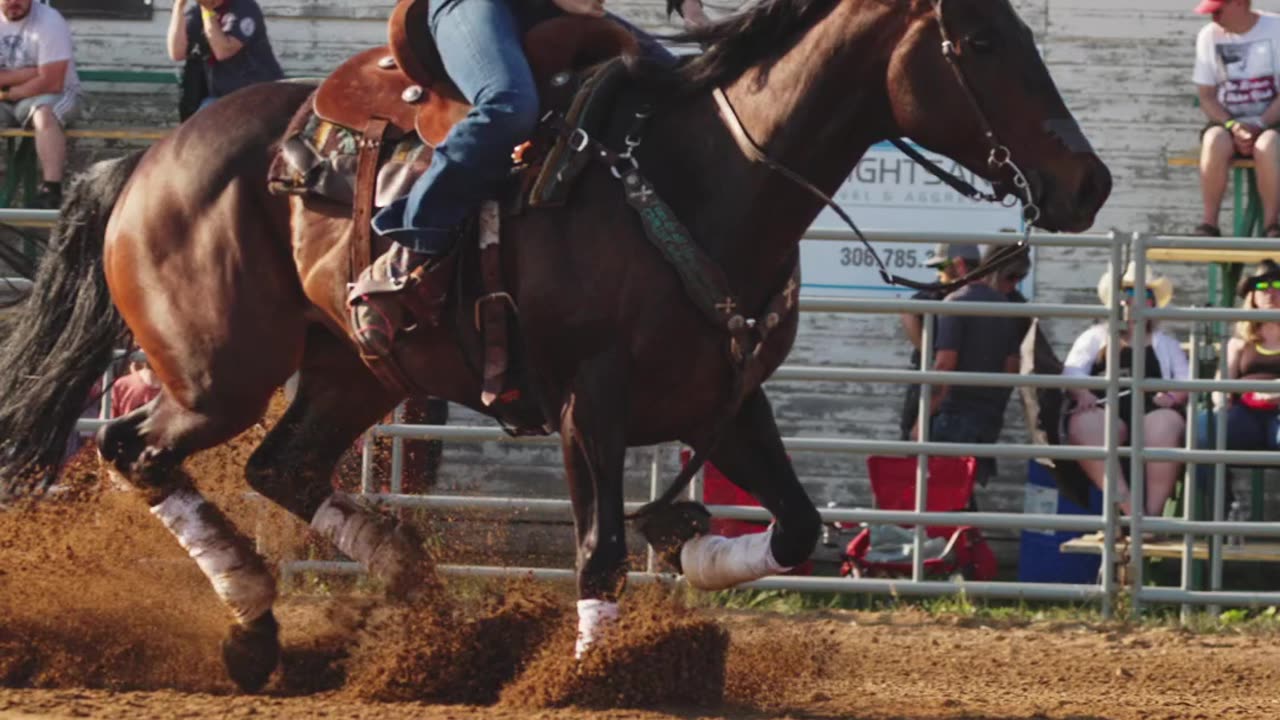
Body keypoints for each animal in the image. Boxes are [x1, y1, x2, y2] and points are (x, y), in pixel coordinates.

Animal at [0, 0, 1111, 691]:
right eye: (977, 42)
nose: (1088, 182)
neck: (702, 178)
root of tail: (145, 159)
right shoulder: (590, 400)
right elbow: (598, 549)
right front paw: (597, 670)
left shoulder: (727, 399)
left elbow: (795, 529)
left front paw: (691, 544)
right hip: (216, 371)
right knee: (136, 450)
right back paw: (255, 616)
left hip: (352, 367)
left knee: (282, 466)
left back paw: (423, 621)